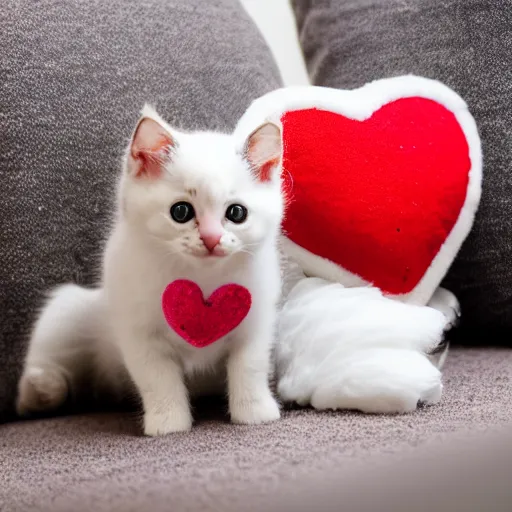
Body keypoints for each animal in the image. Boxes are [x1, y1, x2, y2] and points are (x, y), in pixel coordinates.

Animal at [17, 106, 284, 434]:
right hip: (68, 311)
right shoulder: (138, 330)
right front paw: (168, 422)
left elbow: (250, 364)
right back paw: (43, 390)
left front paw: (254, 411)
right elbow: (157, 378)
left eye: (236, 213)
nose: (210, 238)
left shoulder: (256, 319)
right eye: (181, 212)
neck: (202, 278)